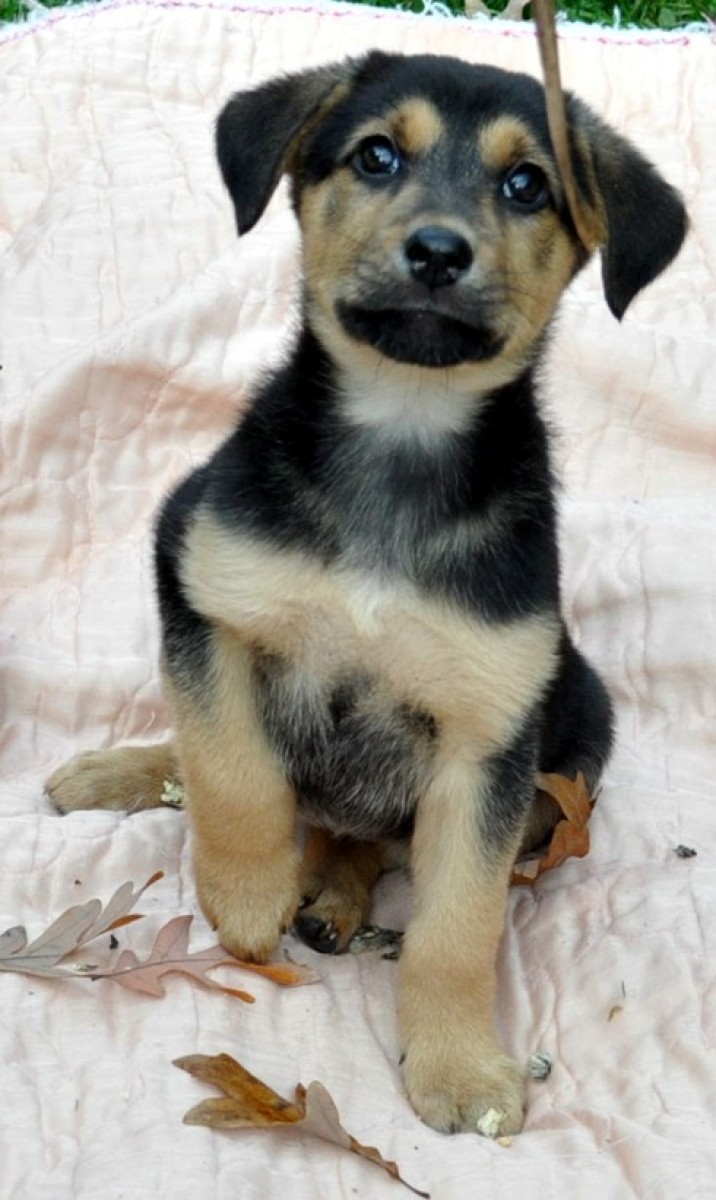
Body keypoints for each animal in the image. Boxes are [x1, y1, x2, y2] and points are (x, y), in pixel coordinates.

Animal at [48, 51, 687, 1136]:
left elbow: (459, 923)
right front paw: (246, 894)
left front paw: (460, 1069)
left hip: (578, 728)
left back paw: (334, 899)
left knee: (371, 842)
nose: (435, 252)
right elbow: (231, 766)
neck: (401, 432)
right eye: (376, 155)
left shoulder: (486, 738)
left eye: (528, 185)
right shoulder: (201, 583)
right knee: (217, 755)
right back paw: (129, 777)